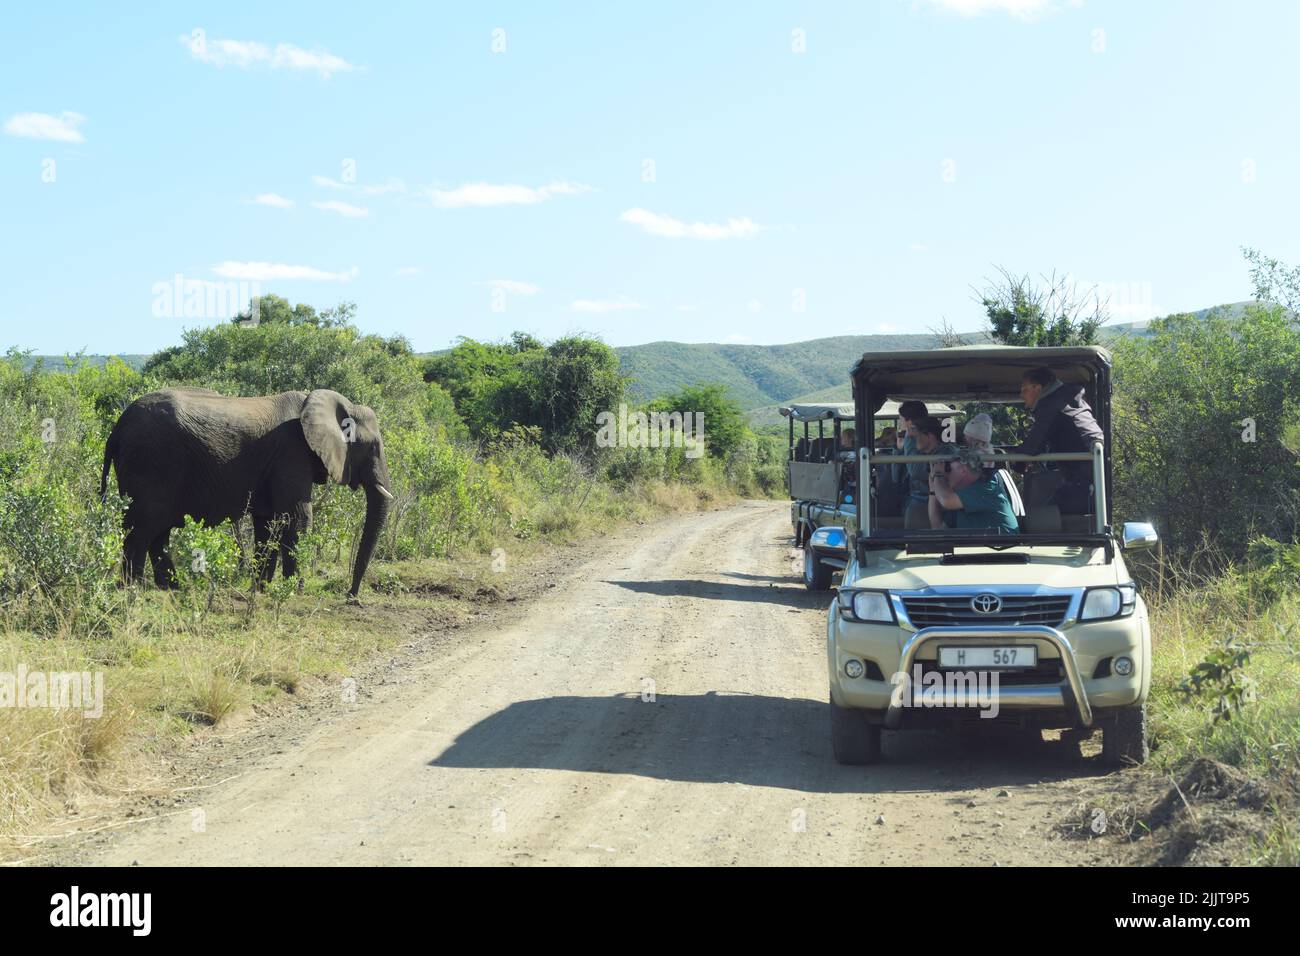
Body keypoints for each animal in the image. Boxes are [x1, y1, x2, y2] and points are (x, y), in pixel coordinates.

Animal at [100, 387, 394, 597]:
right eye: (373, 447)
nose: (351, 596)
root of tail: (116, 430)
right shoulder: (292, 455)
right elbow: (297, 518)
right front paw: (295, 591)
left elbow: (267, 523)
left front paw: (262, 589)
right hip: (150, 462)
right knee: (142, 529)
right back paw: (132, 590)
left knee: (157, 533)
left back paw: (170, 588)